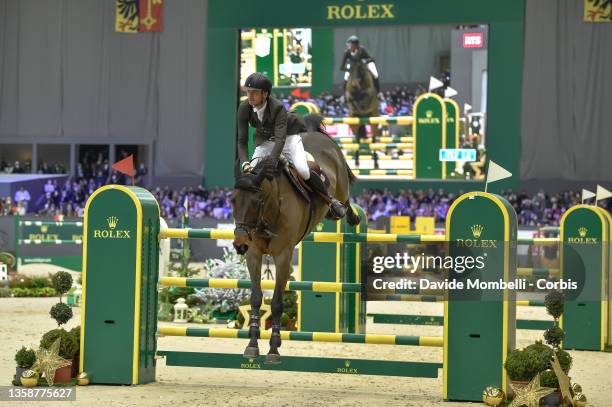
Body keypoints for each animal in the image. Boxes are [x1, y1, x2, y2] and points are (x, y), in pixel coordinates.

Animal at [232, 115, 360, 366]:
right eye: (232, 200)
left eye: (256, 201)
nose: (240, 244)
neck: (270, 209)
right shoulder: (254, 255)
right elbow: (256, 298)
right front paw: (252, 344)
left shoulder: (283, 256)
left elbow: (277, 303)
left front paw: (273, 349)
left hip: (340, 183)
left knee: (345, 198)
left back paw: (348, 214)